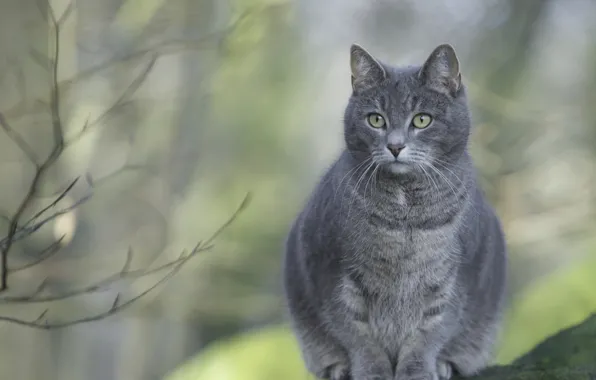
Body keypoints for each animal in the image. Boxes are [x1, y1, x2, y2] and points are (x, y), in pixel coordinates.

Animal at [282, 42, 506, 380]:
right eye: (376, 120)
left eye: (422, 120)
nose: (395, 146)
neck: (404, 213)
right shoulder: (336, 277)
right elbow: (356, 335)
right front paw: (371, 371)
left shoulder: (451, 282)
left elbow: (429, 334)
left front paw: (418, 370)